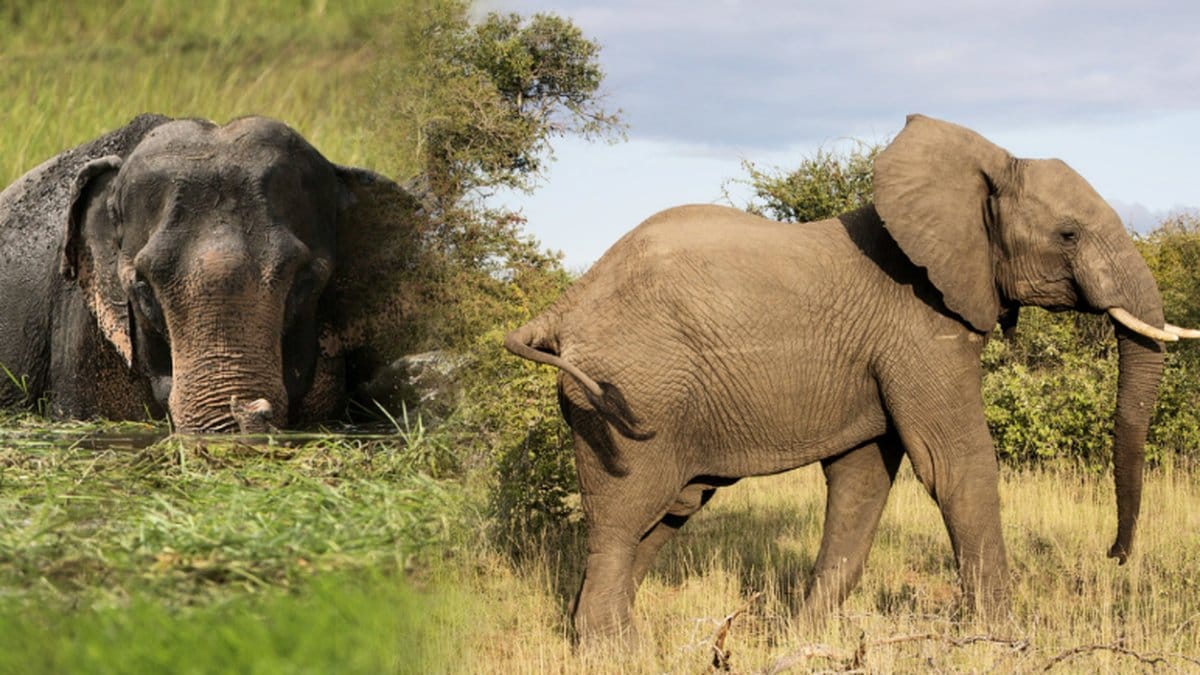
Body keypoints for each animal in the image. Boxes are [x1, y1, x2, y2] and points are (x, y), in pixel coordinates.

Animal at [504, 114, 1200, 641]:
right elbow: (955, 463)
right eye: (1069, 234)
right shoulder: (918, 324)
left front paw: (801, 637)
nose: (1114, 555)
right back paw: (616, 648)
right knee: (624, 519)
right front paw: (1002, 638)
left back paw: (595, 636)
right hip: (630, 395)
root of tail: (565, 304)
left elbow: (863, 479)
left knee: (670, 509)